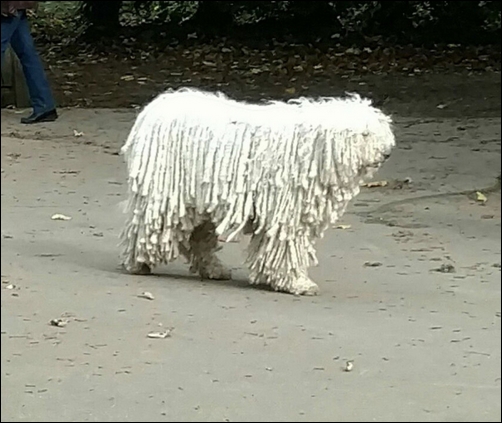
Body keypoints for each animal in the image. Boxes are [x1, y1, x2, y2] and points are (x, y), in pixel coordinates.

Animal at [119, 88, 394, 294]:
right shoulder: (286, 212)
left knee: (198, 238)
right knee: (146, 228)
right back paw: (138, 263)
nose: (387, 153)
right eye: (364, 134)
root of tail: (156, 106)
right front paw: (297, 283)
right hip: (163, 194)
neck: (312, 149)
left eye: (379, 130)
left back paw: (214, 269)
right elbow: (287, 246)